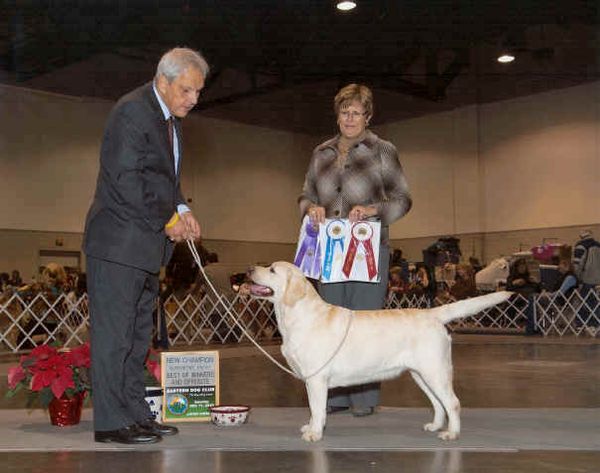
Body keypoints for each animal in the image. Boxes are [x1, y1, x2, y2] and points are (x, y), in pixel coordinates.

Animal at [245, 261, 511, 442]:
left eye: (272, 270)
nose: (248, 270)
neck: (295, 315)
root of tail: (431, 313)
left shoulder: (316, 378)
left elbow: (317, 408)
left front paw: (314, 433)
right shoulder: (311, 380)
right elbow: (313, 409)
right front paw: (310, 427)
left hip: (435, 371)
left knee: (453, 403)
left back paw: (451, 433)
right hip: (421, 374)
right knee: (438, 403)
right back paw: (435, 426)